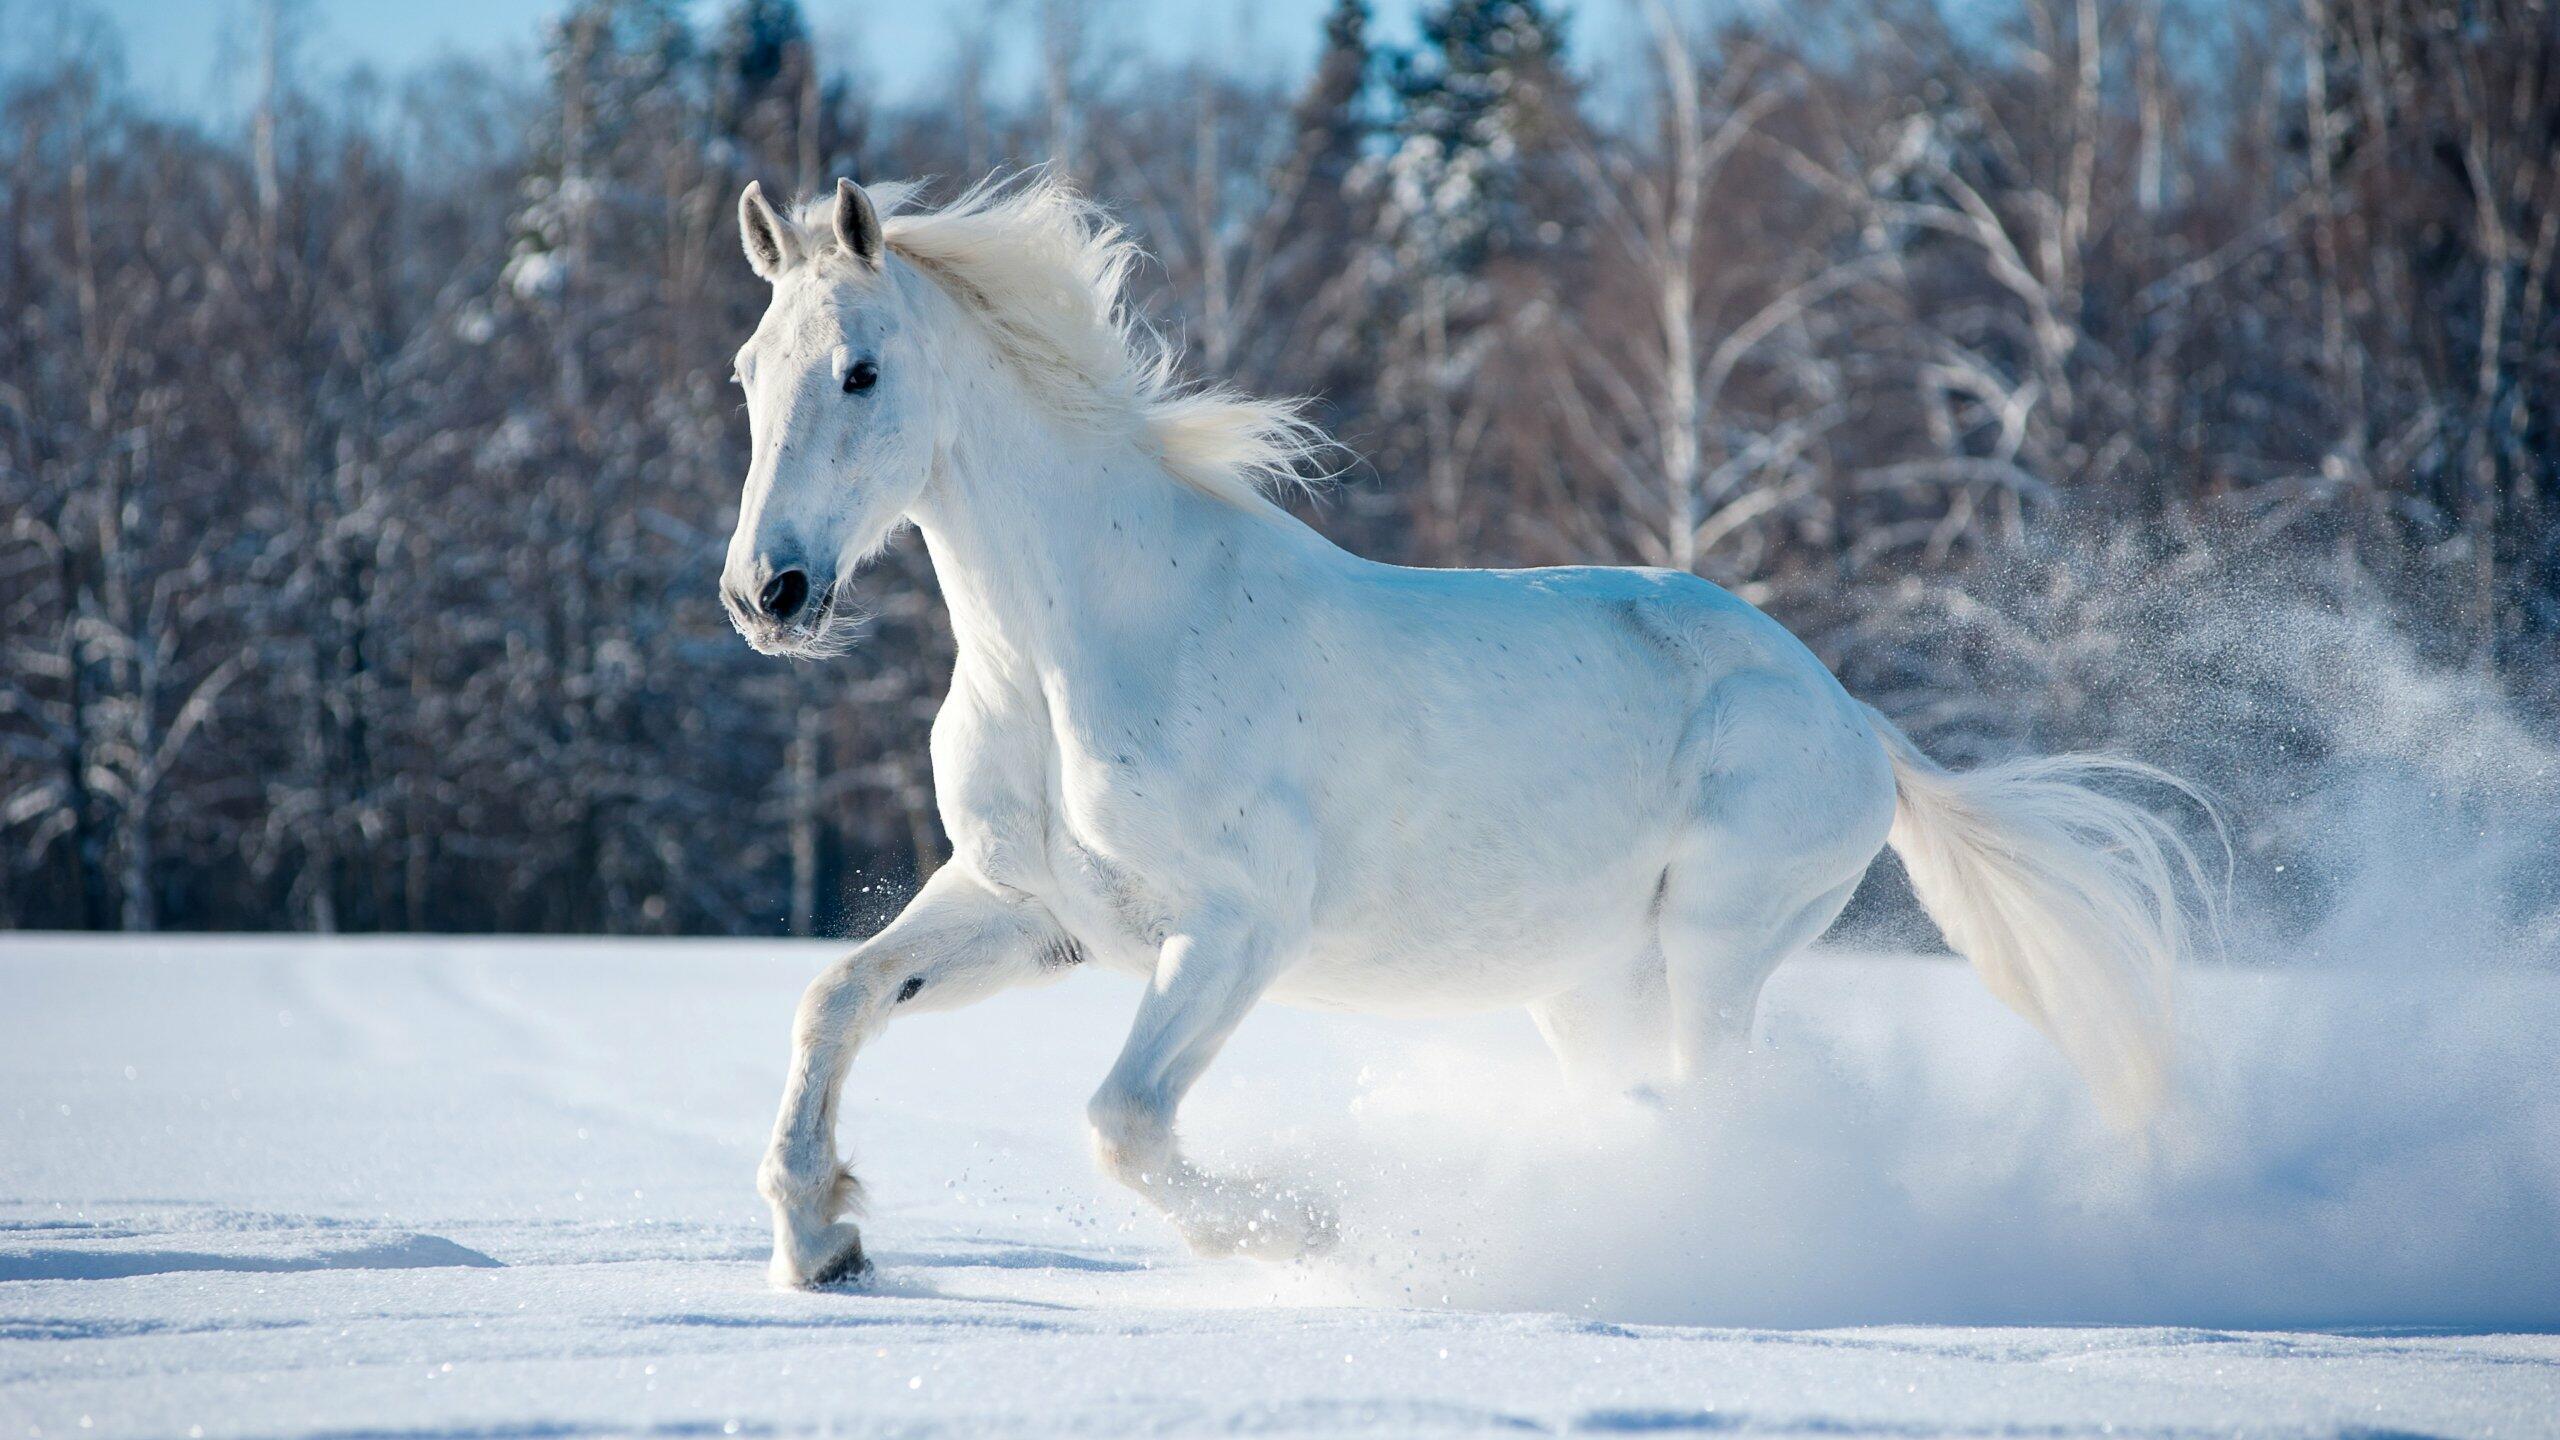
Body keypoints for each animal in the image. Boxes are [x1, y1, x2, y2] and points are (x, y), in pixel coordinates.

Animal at [727, 174, 2222, 1281]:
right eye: (749, 370)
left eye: (860, 371)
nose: (768, 594)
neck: (1080, 643)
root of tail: (1856, 720)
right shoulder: (1029, 908)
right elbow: (834, 998)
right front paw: (825, 1241)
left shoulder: (1238, 927)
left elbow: (1123, 1122)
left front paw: (1303, 1228)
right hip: (1588, 985)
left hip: (1718, 944)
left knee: (1716, 1110)